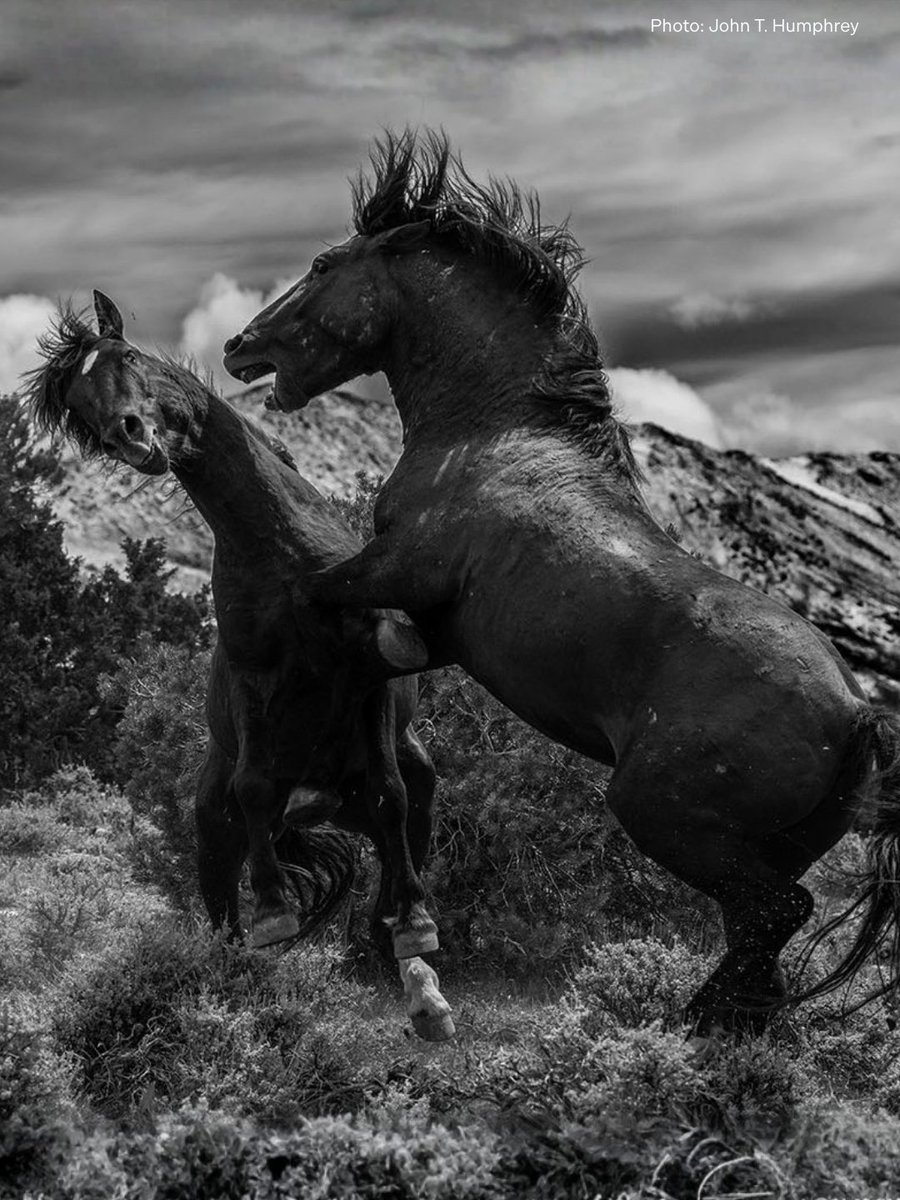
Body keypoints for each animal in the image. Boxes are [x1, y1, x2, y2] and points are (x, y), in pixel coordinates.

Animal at [26, 290, 453, 1041]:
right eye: (76, 402)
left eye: (126, 356)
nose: (130, 436)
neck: (283, 551)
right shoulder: (255, 688)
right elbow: (254, 789)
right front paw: (276, 913)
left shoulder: (369, 680)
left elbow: (390, 795)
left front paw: (415, 939)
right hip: (214, 840)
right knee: (225, 918)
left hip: (401, 795)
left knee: (400, 847)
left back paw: (419, 978)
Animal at [223, 129, 900, 1032]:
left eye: (326, 263)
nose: (240, 347)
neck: (491, 432)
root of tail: (857, 712)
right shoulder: (433, 632)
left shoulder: (397, 572)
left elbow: (314, 598)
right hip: (763, 842)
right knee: (763, 935)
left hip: (663, 816)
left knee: (774, 915)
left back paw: (683, 1023)